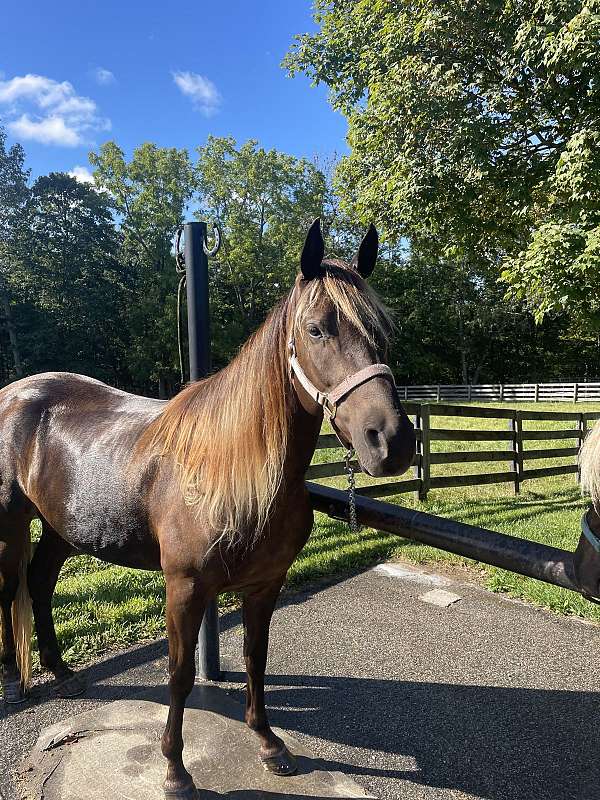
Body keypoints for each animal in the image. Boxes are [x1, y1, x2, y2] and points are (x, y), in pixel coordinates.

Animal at [0, 217, 414, 792]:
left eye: (383, 332)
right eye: (316, 329)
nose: (391, 442)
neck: (237, 471)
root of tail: (14, 394)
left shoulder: (266, 584)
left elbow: (256, 659)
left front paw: (268, 743)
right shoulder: (185, 587)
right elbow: (178, 674)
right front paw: (174, 769)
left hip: (62, 528)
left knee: (38, 583)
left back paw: (61, 672)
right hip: (9, 524)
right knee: (6, 592)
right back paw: (14, 679)